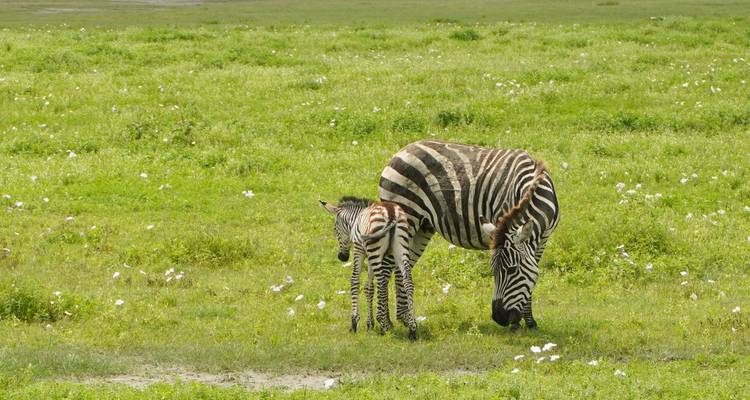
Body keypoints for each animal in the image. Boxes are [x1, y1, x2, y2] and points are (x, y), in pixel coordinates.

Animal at [319, 197, 417, 339]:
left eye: (335, 229)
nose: (342, 257)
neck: (355, 219)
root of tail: (391, 213)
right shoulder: (370, 256)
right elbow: (369, 287)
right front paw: (370, 323)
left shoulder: (359, 249)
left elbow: (355, 281)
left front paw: (354, 322)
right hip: (400, 247)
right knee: (408, 282)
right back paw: (412, 327)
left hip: (376, 249)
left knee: (382, 281)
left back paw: (384, 326)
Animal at [379, 140, 560, 331]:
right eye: (493, 270)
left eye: (512, 270)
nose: (499, 318)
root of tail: (401, 151)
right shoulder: (501, 222)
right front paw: (517, 324)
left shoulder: (542, 241)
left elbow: (531, 275)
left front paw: (530, 322)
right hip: (406, 216)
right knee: (385, 267)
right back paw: (385, 323)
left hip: (422, 227)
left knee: (401, 267)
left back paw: (405, 319)